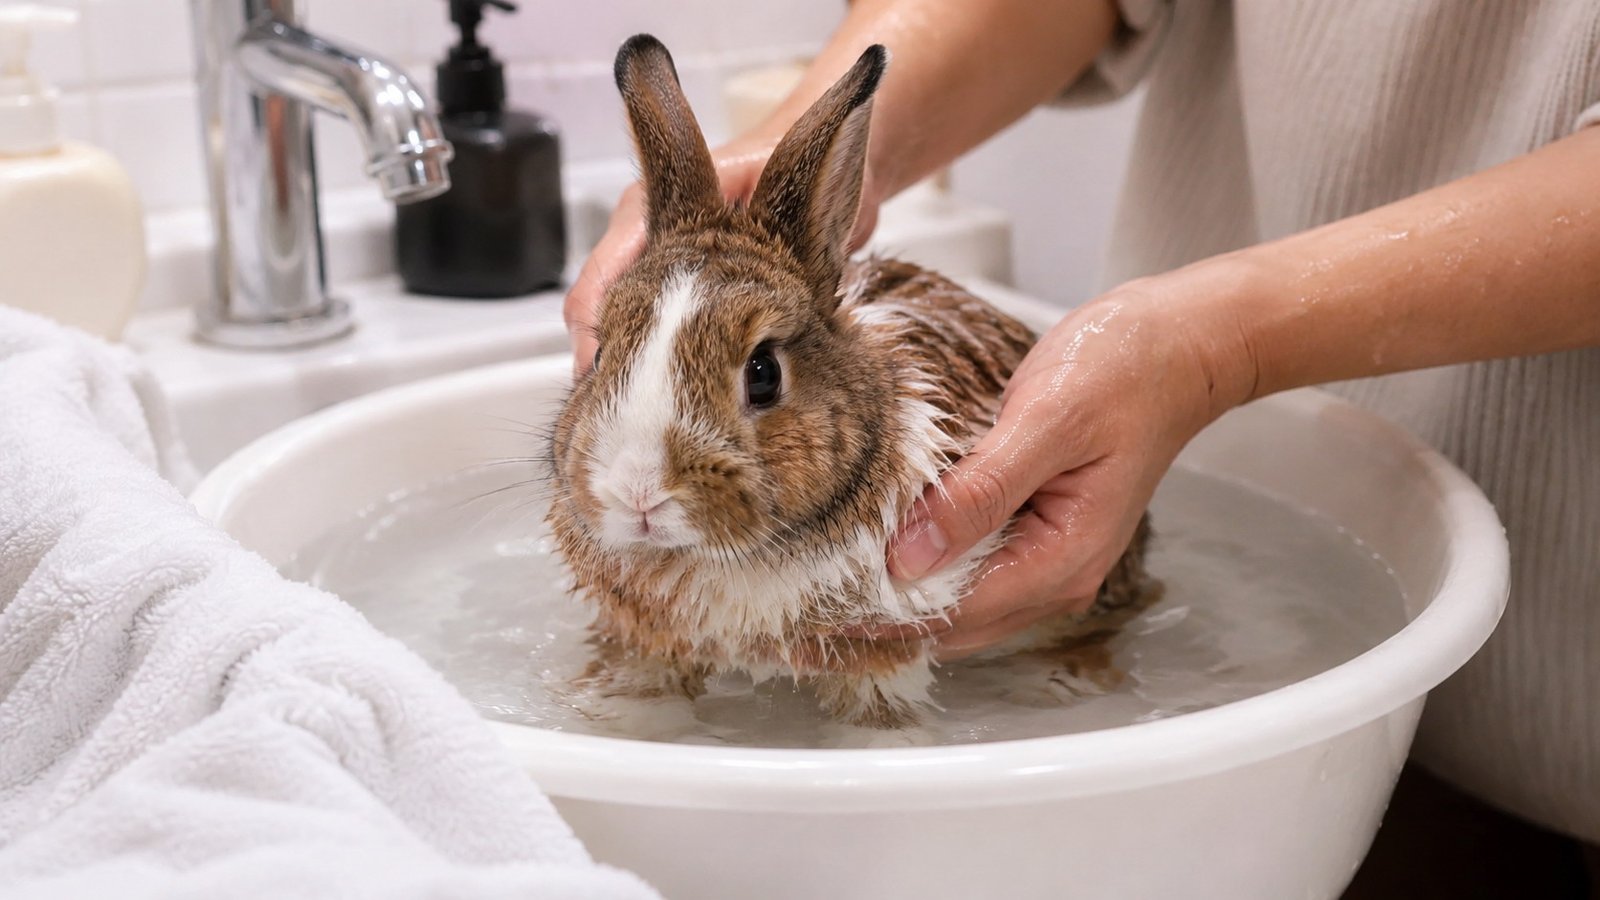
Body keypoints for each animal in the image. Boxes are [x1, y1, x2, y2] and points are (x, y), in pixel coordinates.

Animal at [544, 34, 1160, 729]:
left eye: (763, 374)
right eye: (600, 353)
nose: (638, 494)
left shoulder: (885, 651)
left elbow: (878, 722)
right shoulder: (650, 642)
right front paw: (619, 717)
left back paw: (1057, 686)